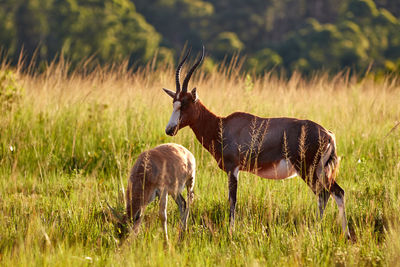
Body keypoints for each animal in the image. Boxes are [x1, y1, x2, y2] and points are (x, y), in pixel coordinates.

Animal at [162, 47, 350, 240]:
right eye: (174, 103)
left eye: (184, 104)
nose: (170, 130)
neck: (222, 125)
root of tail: (328, 134)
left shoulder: (233, 169)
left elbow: (232, 199)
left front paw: (231, 231)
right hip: (320, 171)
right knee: (336, 193)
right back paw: (343, 234)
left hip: (308, 170)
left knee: (325, 194)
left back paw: (322, 231)